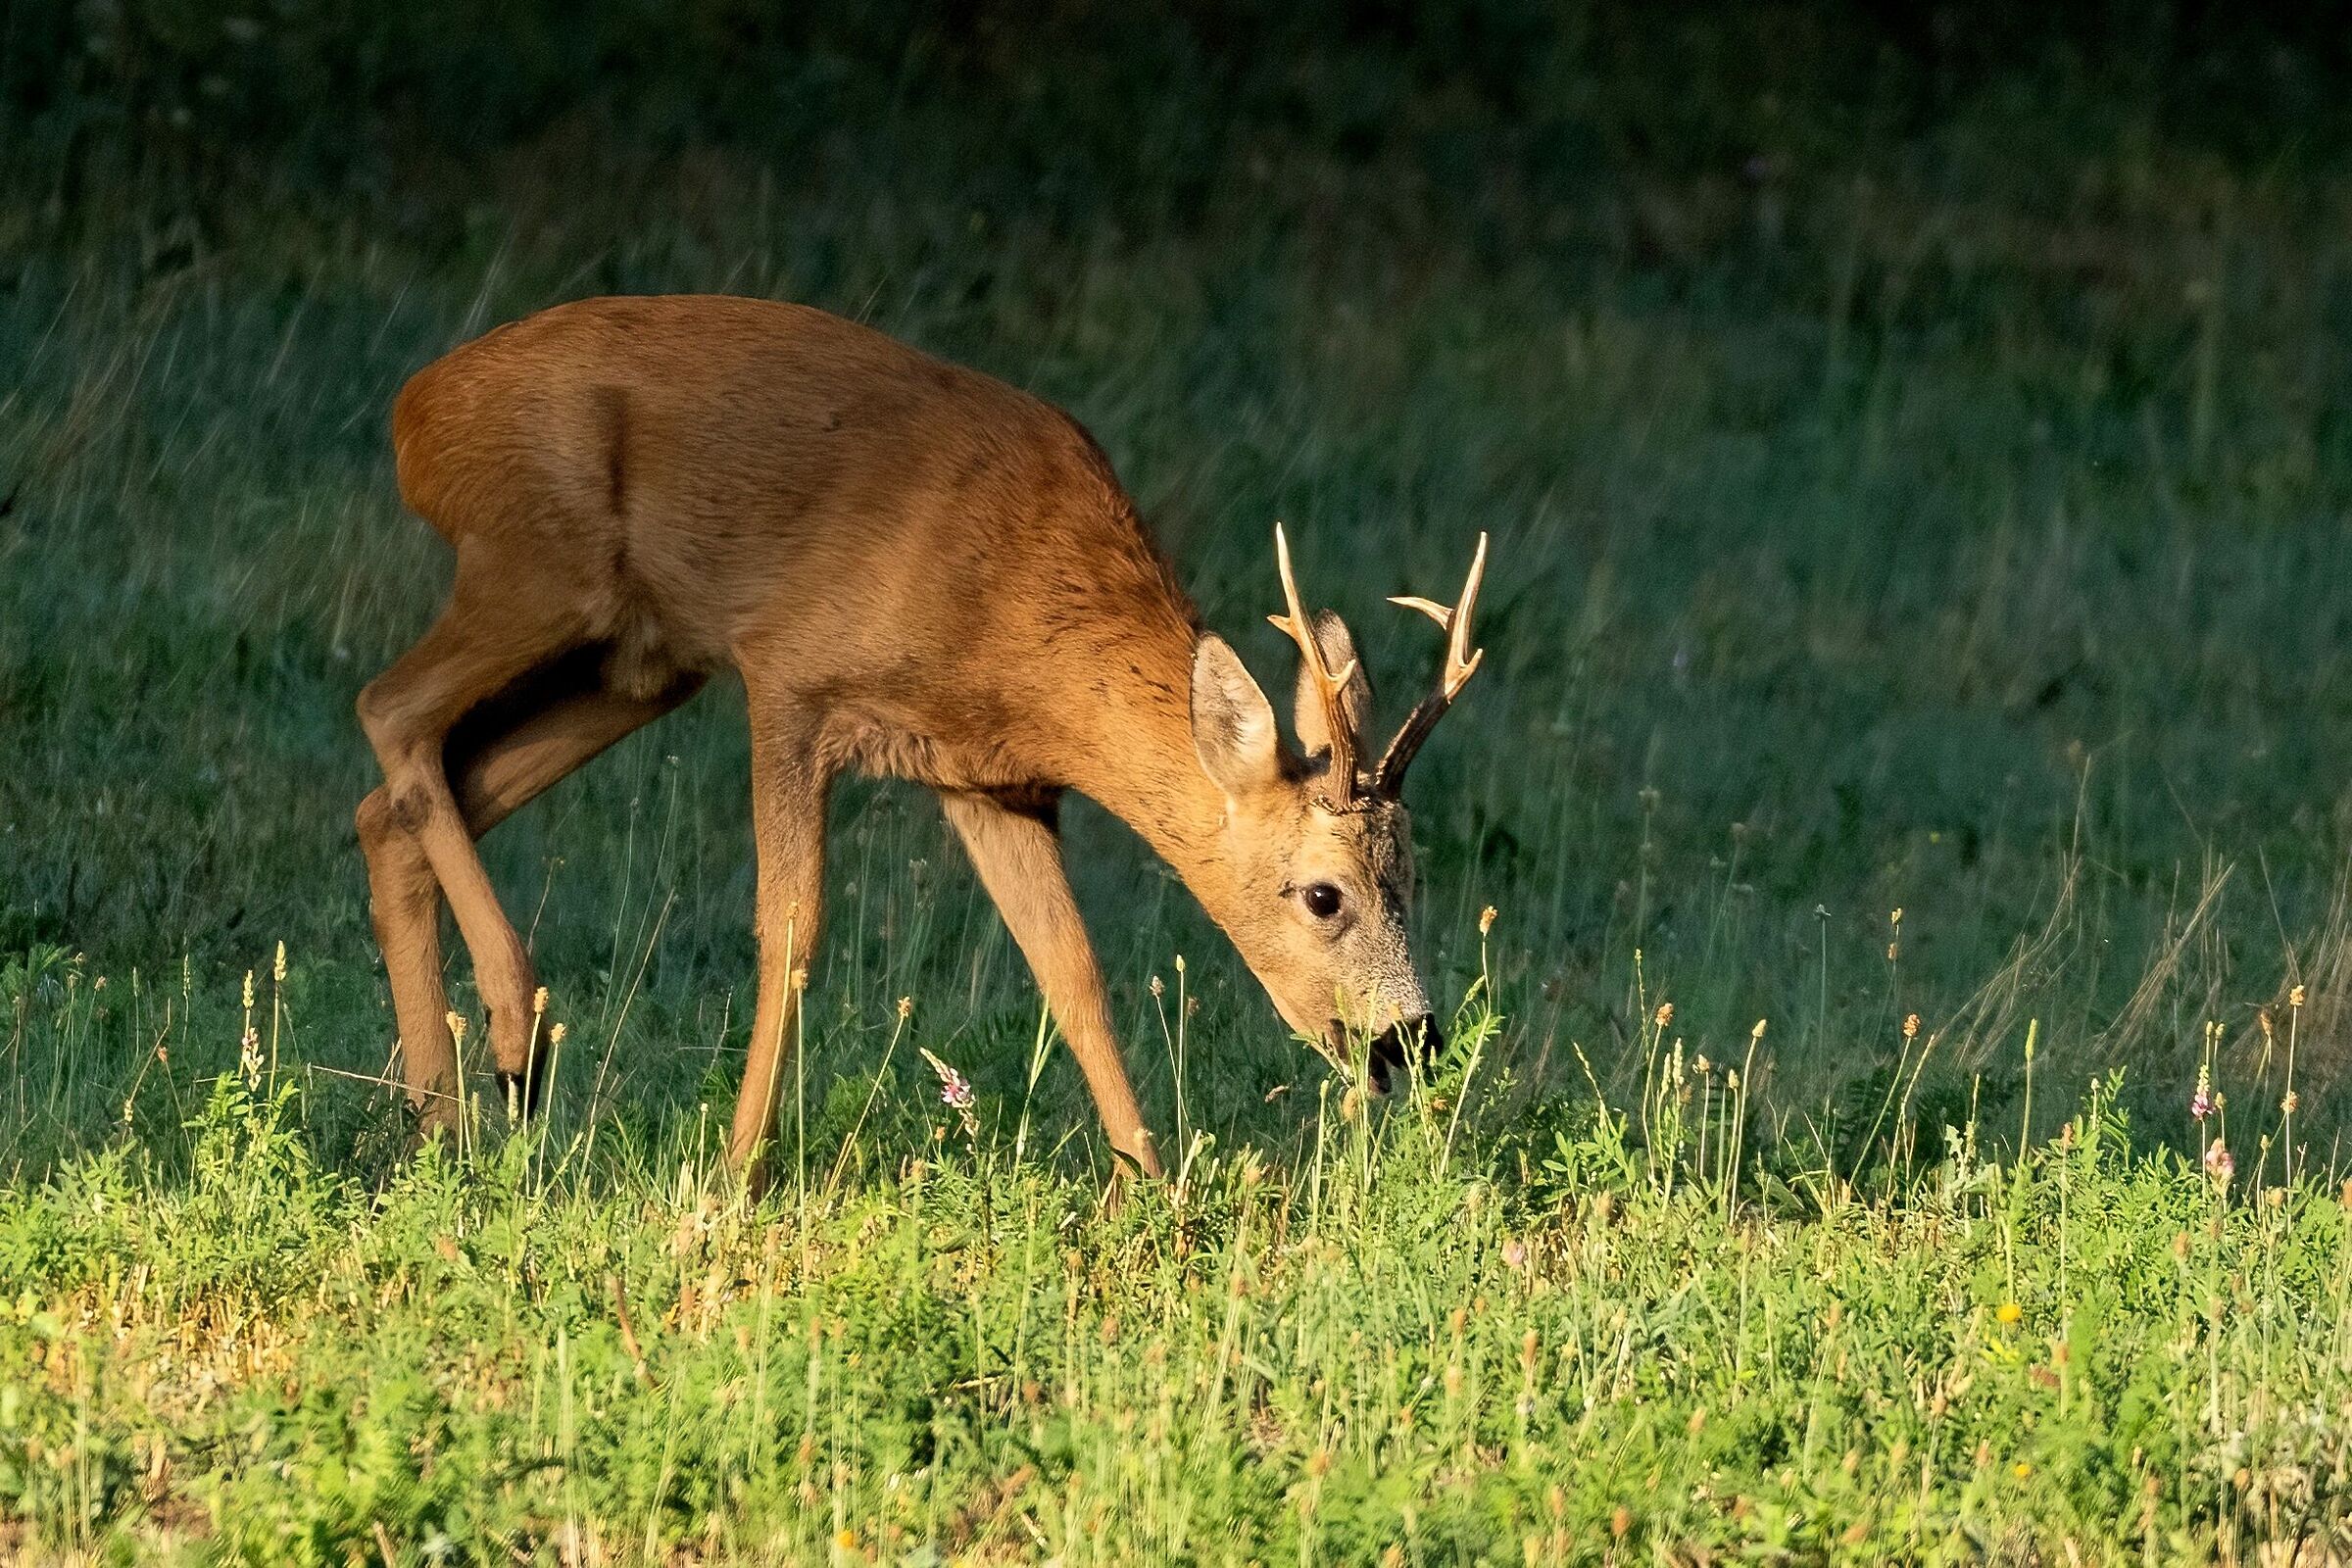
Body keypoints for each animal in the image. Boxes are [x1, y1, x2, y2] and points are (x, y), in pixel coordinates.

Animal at [354, 294, 1489, 1185]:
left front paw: (1155, 1188)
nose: (1411, 1041)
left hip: (636, 661)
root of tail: (412, 414)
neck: (1010, 616)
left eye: (1414, 873)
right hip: (540, 565)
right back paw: (513, 1034)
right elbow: (792, 933)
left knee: (400, 797)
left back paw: (436, 1125)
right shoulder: (789, 676)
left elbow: (1072, 969)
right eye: (1324, 895)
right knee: (387, 709)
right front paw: (735, 1175)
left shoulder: (992, 782)